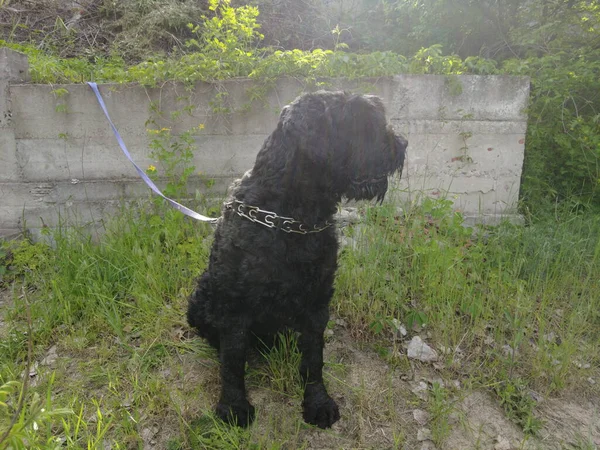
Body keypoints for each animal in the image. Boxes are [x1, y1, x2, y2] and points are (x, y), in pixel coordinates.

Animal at [186, 89, 408, 428]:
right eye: (362, 123)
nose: (402, 144)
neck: (291, 218)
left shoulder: (318, 301)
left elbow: (314, 358)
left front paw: (318, 401)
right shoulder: (236, 305)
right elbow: (233, 359)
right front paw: (234, 407)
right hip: (201, 296)